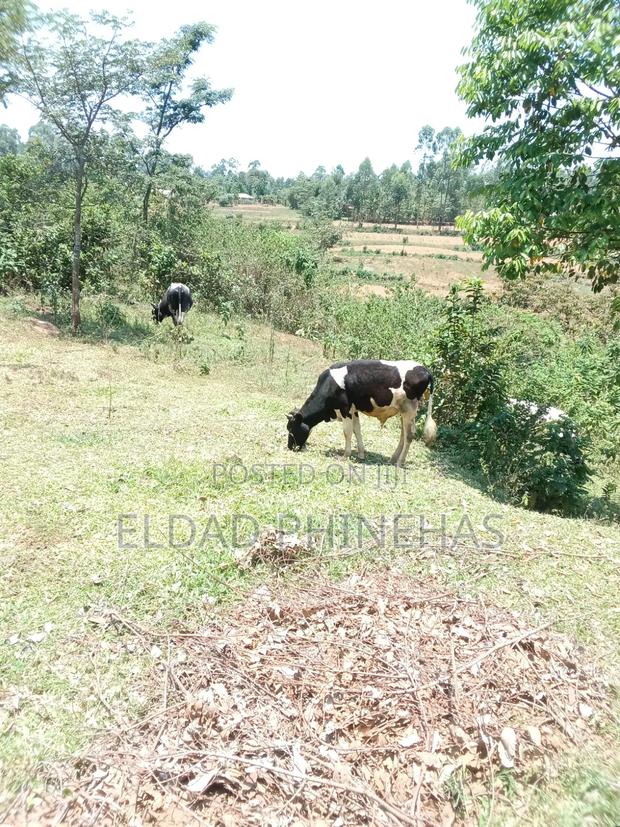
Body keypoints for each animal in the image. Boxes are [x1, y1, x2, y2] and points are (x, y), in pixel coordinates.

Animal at [287, 359, 437, 466]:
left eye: (291, 428)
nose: (290, 447)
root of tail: (424, 369)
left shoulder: (345, 409)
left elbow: (347, 432)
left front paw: (345, 455)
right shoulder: (354, 410)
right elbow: (357, 430)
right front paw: (361, 454)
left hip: (409, 409)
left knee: (409, 436)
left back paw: (400, 462)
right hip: (403, 411)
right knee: (403, 435)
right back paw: (393, 459)